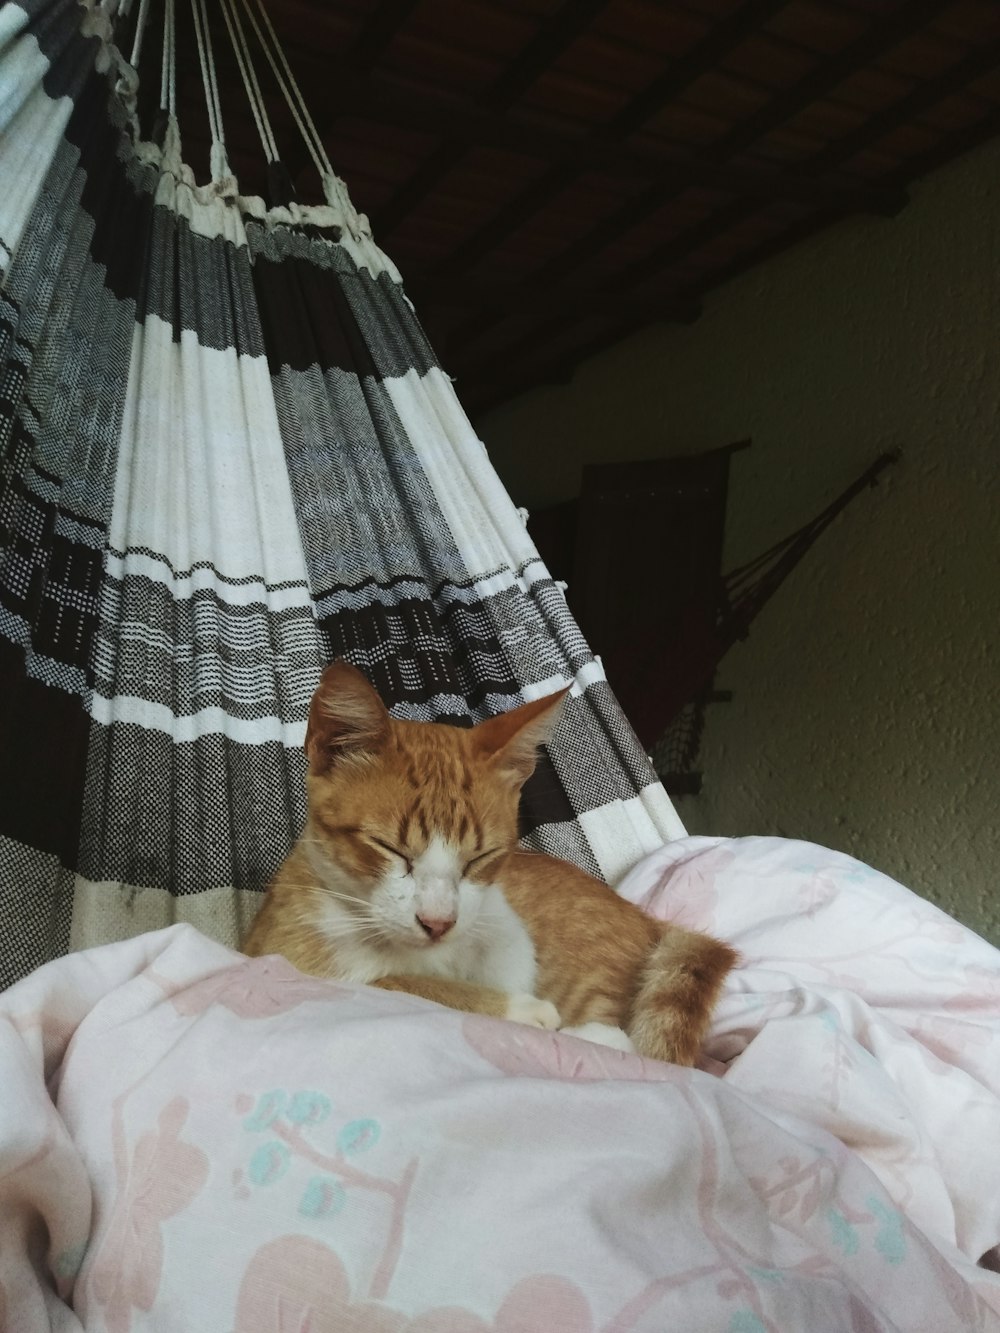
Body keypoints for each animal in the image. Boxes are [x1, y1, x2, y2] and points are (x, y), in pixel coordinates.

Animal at [246, 663, 741, 1061]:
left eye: (481, 857)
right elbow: (397, 985)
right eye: (391, 849)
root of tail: (644, 917)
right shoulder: (290, 959)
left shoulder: (500, 923)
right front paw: (522, 1010)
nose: (437, 923)